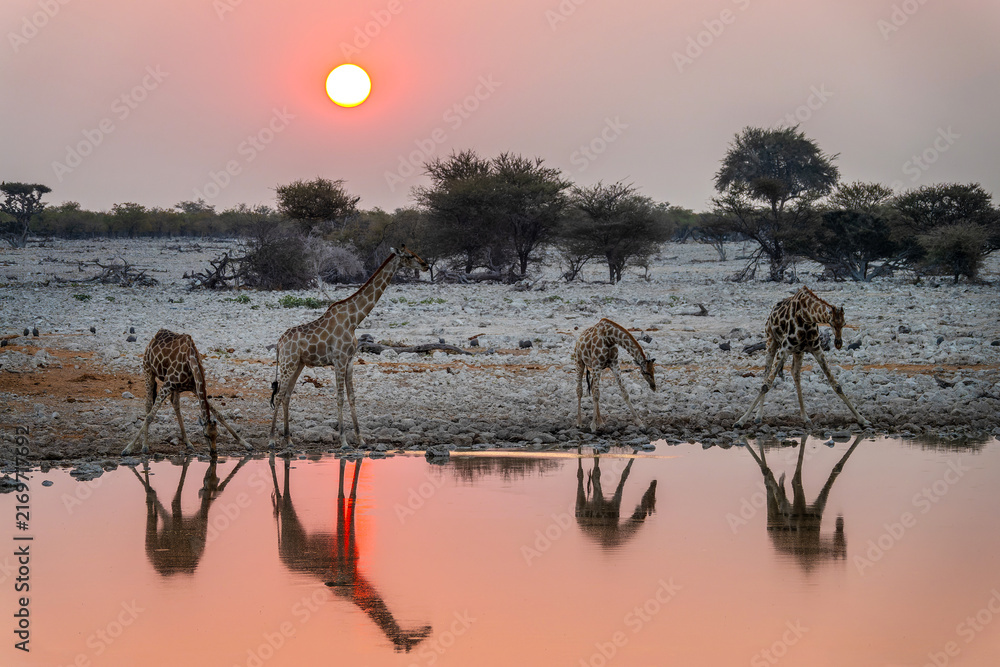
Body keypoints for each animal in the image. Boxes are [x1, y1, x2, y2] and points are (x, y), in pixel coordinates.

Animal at [122, 329, 252, 456]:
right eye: (205, 435)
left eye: (218, 434)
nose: (213, 452)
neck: (191, 360)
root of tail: (156, 335)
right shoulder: (167, 384)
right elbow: (150, 416)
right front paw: (128, 448)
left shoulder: (194, 387)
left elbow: (219, 414)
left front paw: (246, 444)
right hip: (148, 370)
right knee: (148, 404)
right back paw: (145, 445)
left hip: (175, 387)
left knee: (175, 403)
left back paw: (188, 442)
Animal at [268, 246, 429, 449]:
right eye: (409, 255)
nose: (425, 265)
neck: (354, 319)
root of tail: (279, 343)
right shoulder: (339, 359)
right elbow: (340, 397)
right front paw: (344, 441)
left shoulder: (350, 360)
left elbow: (352, 396)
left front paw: (361, 440)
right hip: (288, 363)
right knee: (279, 395)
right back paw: (272, 440)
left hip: (298, 364)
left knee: (287, 395)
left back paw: (289, 440)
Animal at [735, 286, 869, 428]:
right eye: (831, 323)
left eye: (844, 323)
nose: (838, 343)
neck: (806, 317)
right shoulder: (784, 349)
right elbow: (766, 385)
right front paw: (741, 421)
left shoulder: (816, 349)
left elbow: (836, 385)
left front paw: (862, 419)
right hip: (771, 341)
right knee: (766, 374)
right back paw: (758, 416)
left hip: (798, 351)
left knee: (795, 373)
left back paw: (805, 417)